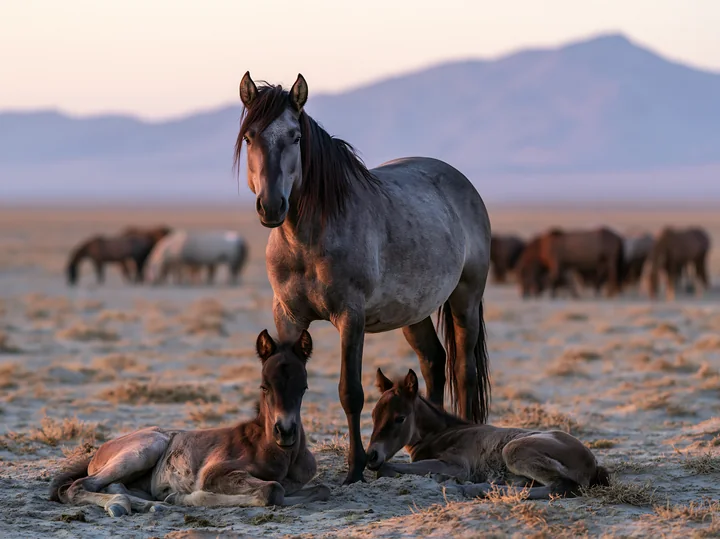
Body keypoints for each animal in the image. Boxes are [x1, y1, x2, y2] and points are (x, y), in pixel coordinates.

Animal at [48, 330, 330, 517]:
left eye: (303, 387)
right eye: (264, 386)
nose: (285, 432)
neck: (276, 452)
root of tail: (98, 451)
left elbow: (319, 489)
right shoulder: (215, 473)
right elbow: (272, 490)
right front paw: (183, 497)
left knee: (113, 485)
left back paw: (151, 504)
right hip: (146, 448)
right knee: (77, 487)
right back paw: (121, 504)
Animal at [234, 72, 492, 484]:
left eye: (295, 136)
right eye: (249, 136)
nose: (272, 206)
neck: (307, 239)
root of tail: (461, 182)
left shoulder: (350, 317)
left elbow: (350, 392)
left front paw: (354, 469)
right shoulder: (288, 317)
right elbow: (287, 377)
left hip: (465, 299)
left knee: (463, 370)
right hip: (414, 312)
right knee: (433, 363)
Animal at [367, 368, 610, 499]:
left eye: (400, 418)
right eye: (373, 415)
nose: (371, 456)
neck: (440, 433)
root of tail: (592, 463)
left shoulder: (457, 465)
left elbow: (386, 468)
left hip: (513, 449)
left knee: (559, 487)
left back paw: (468, 487)